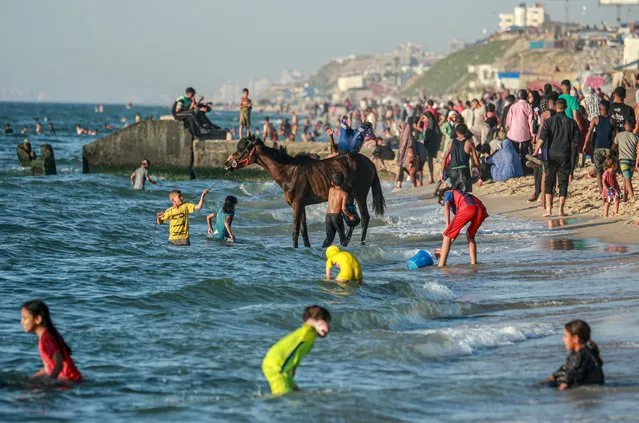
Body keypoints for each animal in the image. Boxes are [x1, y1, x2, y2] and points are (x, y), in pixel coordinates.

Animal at [225, 136, 384, 248]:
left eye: (242, 148)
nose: (227, 163)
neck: (289, 171)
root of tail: (370, 163)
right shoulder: (301, 205)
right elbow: (303, 230)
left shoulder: (298, 204)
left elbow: (295, 230)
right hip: (349, 196)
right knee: (352, 219)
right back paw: (346, 242)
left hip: (360, 194)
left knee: (364, 218)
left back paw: (360, 243)